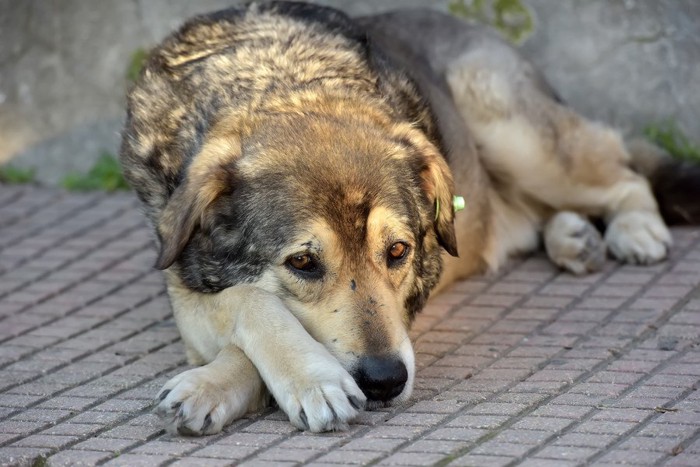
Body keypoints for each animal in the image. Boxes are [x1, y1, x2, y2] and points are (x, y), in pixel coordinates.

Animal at [117, 1, 696, 436]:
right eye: (303, 263)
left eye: (398, 252)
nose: (384, 381)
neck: (285, 84)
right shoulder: (182, 285)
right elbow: (251, 300)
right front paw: (230, 384)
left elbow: (251, 316)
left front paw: (307, 383)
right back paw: (573, 237)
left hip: (513, 131)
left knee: (625, 171)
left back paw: (634, 229)